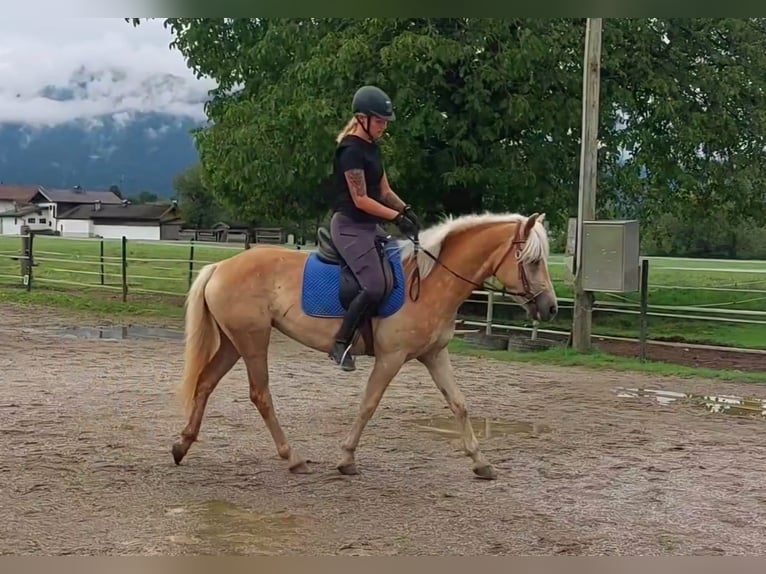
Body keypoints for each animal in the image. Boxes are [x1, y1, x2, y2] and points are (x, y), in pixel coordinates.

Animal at [172, 212, 560, 482]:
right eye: (533, 261)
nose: (551, 307)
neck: (431, 279)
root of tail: (221, 265)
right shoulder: (391, 358)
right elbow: (368, 404)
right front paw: (346, 459)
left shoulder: (434, 355)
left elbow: (459, 404)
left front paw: (481, 463)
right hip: (252, 340)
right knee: (260, 394)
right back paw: (293, 458)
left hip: (234, 342)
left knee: (205, 383)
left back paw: (182, 445)